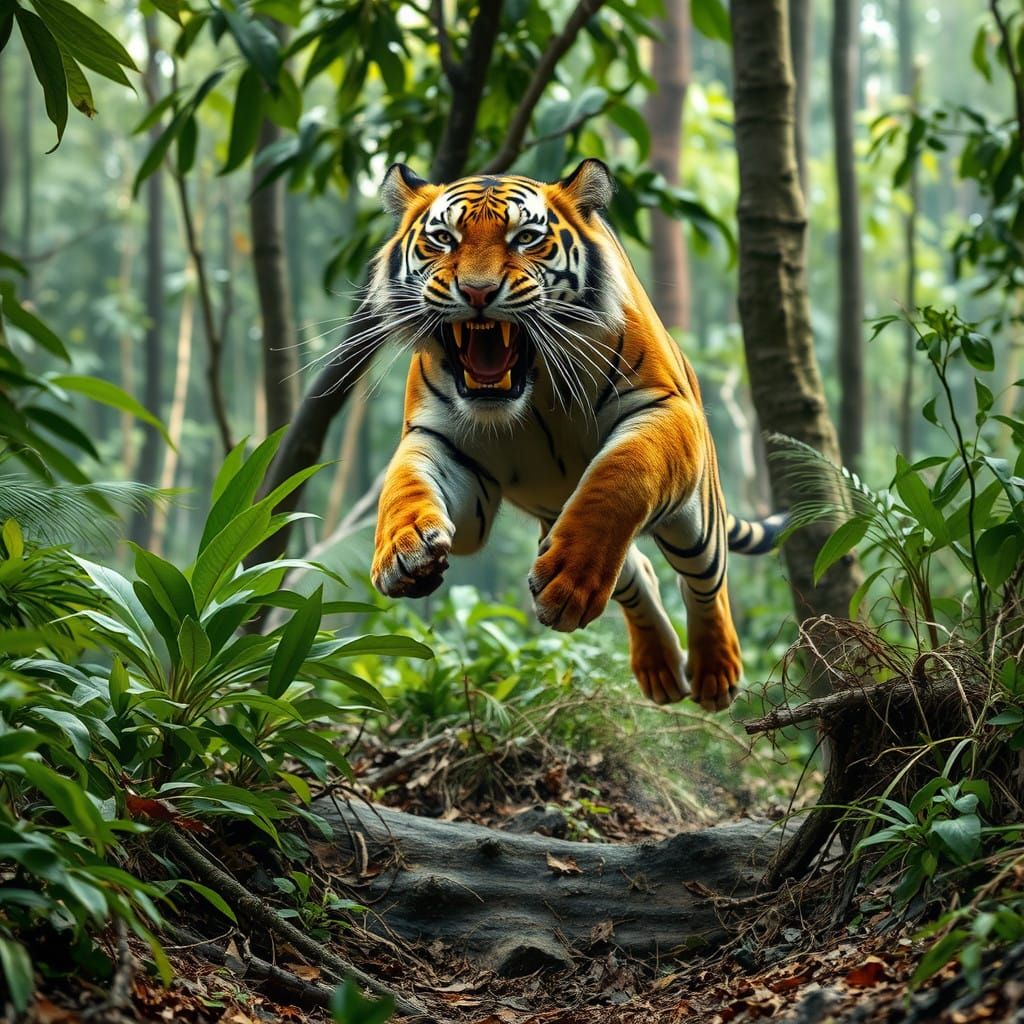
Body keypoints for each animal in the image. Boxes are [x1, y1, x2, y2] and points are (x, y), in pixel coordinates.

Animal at [365, 159, 785, 711]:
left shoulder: (662, 408)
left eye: (526, 238)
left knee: (704, 581)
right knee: (637, 573)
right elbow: (404, 482)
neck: (529, 388)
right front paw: (404, 549)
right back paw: (660, 671)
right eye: (443, 239)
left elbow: (618, 479)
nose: (477, 292)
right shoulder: (442, 442)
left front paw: (568, 585)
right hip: (557, 521)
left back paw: (715, 673)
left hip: (695, 517)